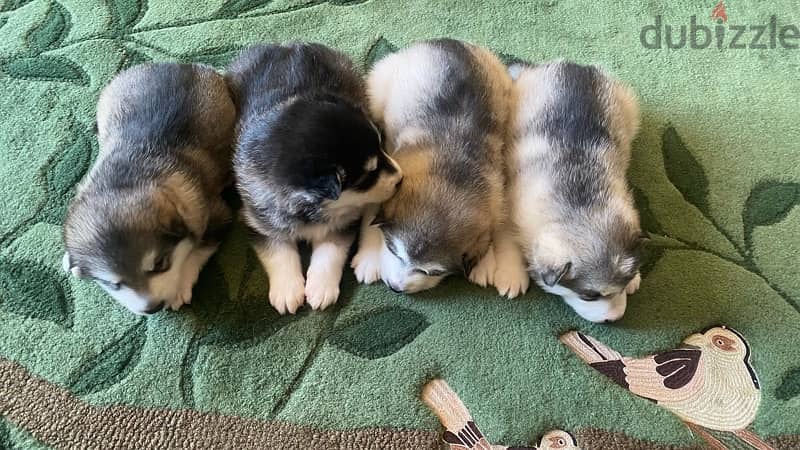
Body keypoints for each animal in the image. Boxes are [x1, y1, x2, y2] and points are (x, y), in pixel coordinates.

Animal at [62, 62, 238, 316]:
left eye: (159, 264)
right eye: (115, 284)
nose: (152, 308)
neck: (126, 180)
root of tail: (180, 64)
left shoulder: (217, 214)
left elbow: (198, 250)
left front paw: (182, 283)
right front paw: (69, 260)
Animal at [227, 44, 404, 314]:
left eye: (381, 147)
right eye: (368, 175)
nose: (401, 177)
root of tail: (289, 45)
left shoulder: (343, 222)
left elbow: (330, 251)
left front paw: (321, 288)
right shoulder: (259, 219)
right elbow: (278, 251)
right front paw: (287, 290)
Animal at [352, 40, 528, 298]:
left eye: (432, 272)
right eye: (394, 251)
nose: (395, 288)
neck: (451, 175)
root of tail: (449, 41)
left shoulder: (497, 197)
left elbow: (496, 230)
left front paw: (491, 265)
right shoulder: (386, 182)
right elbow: (370, 216)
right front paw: (369, 257)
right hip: (380, 86)